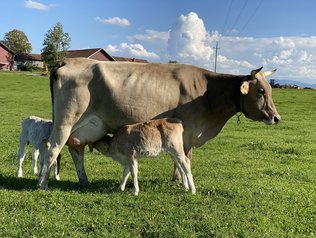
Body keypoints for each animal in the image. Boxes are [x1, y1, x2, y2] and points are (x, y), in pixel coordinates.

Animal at [37, 56, 282, 189]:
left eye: (270, 89)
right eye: (260, 91)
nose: (276, 117)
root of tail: (68, 60)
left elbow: (179, 157)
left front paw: (176, 179)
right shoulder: (188, 130)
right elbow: (186, 157)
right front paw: (181, 181)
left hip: (91, 125)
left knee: (74, 148)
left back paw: (84, 181)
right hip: (66, 120)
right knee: (52, 148)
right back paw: (42, 183)